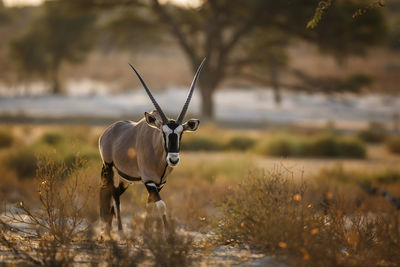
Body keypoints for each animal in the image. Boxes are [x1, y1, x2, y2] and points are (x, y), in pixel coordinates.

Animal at [98, 58, 205, 237]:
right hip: (109, 167)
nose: (173, 159)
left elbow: (150, 205)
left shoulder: (159, 183)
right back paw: (111, 231)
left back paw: (115, 229)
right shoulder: (149, 181)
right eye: (164, 132)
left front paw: (146, 232)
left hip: (125, 178)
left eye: (181, 133)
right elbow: (161, 205)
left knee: (116, 193)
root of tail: (108, 131)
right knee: (108, 191)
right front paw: (169, 235)